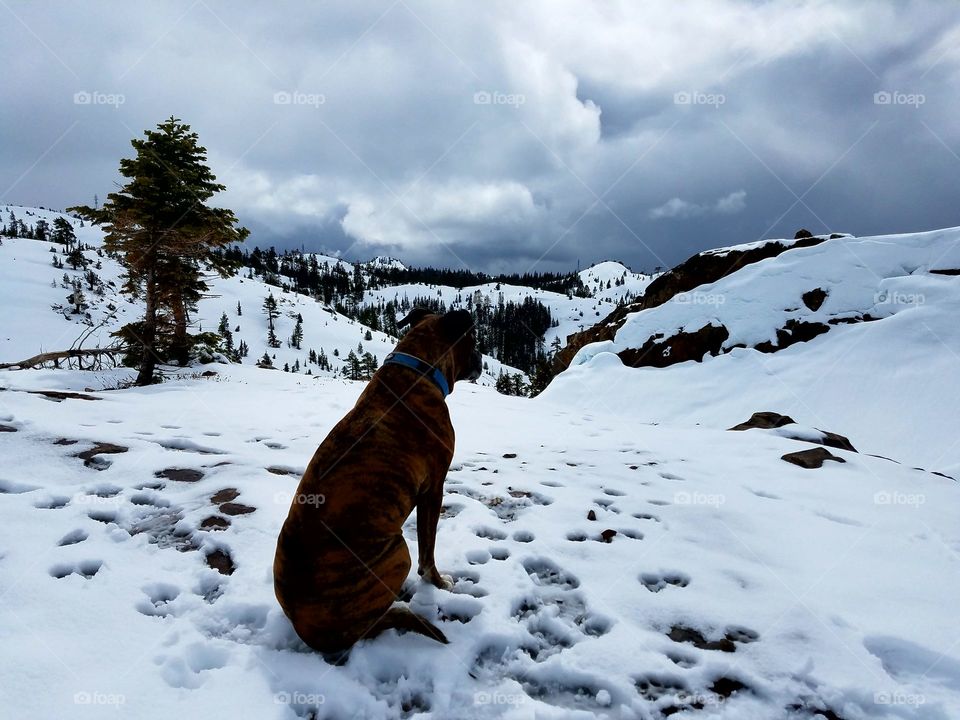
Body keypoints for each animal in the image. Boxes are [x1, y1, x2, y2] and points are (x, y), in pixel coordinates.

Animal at [272, 306, 480, 648]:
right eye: (472, 341)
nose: (481, 359)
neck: (418, 369)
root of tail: (305, 629)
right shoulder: (433, 489)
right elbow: (428, 549)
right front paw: (438, 582)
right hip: (397, 551)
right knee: (371, 625)